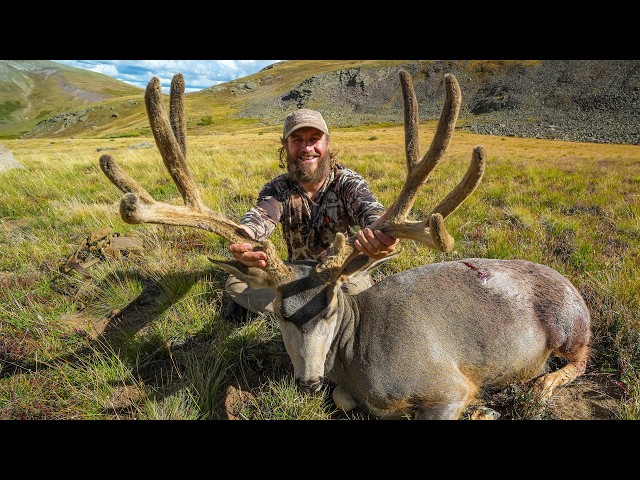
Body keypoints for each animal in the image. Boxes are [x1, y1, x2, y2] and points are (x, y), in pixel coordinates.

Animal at [98, 70, 591, 420]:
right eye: (279, 314)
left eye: (332, 308)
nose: (309, 381)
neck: (357, 357)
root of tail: (571, 286)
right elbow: (345, 400)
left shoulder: (451, 387)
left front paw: (485, 410)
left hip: (571, 327)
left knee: (579, 359)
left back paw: (541, 386)